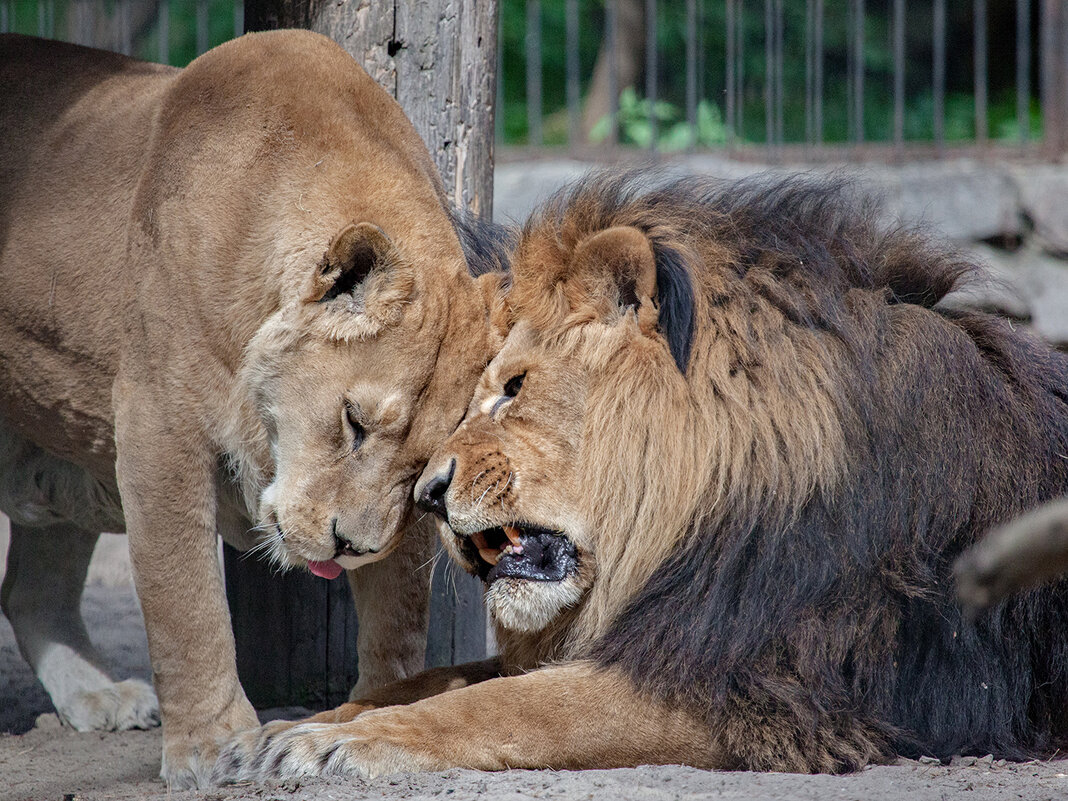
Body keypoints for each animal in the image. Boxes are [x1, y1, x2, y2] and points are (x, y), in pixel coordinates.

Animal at [0, 29, 504, 790]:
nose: (351, 546)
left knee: (30, 591)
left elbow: (398, 616)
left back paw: (98, 694)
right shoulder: (156, 426)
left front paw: (370, 712)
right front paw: (213, 747)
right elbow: (187, 604)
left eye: (422, 468)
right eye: (354, 424)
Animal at [216, 173, 1068, 781]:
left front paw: (336, 743)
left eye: (514, 387)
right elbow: (435, 680)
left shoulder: (749, 679)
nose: (428, 493)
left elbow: (512, 706)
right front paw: (293, 727)